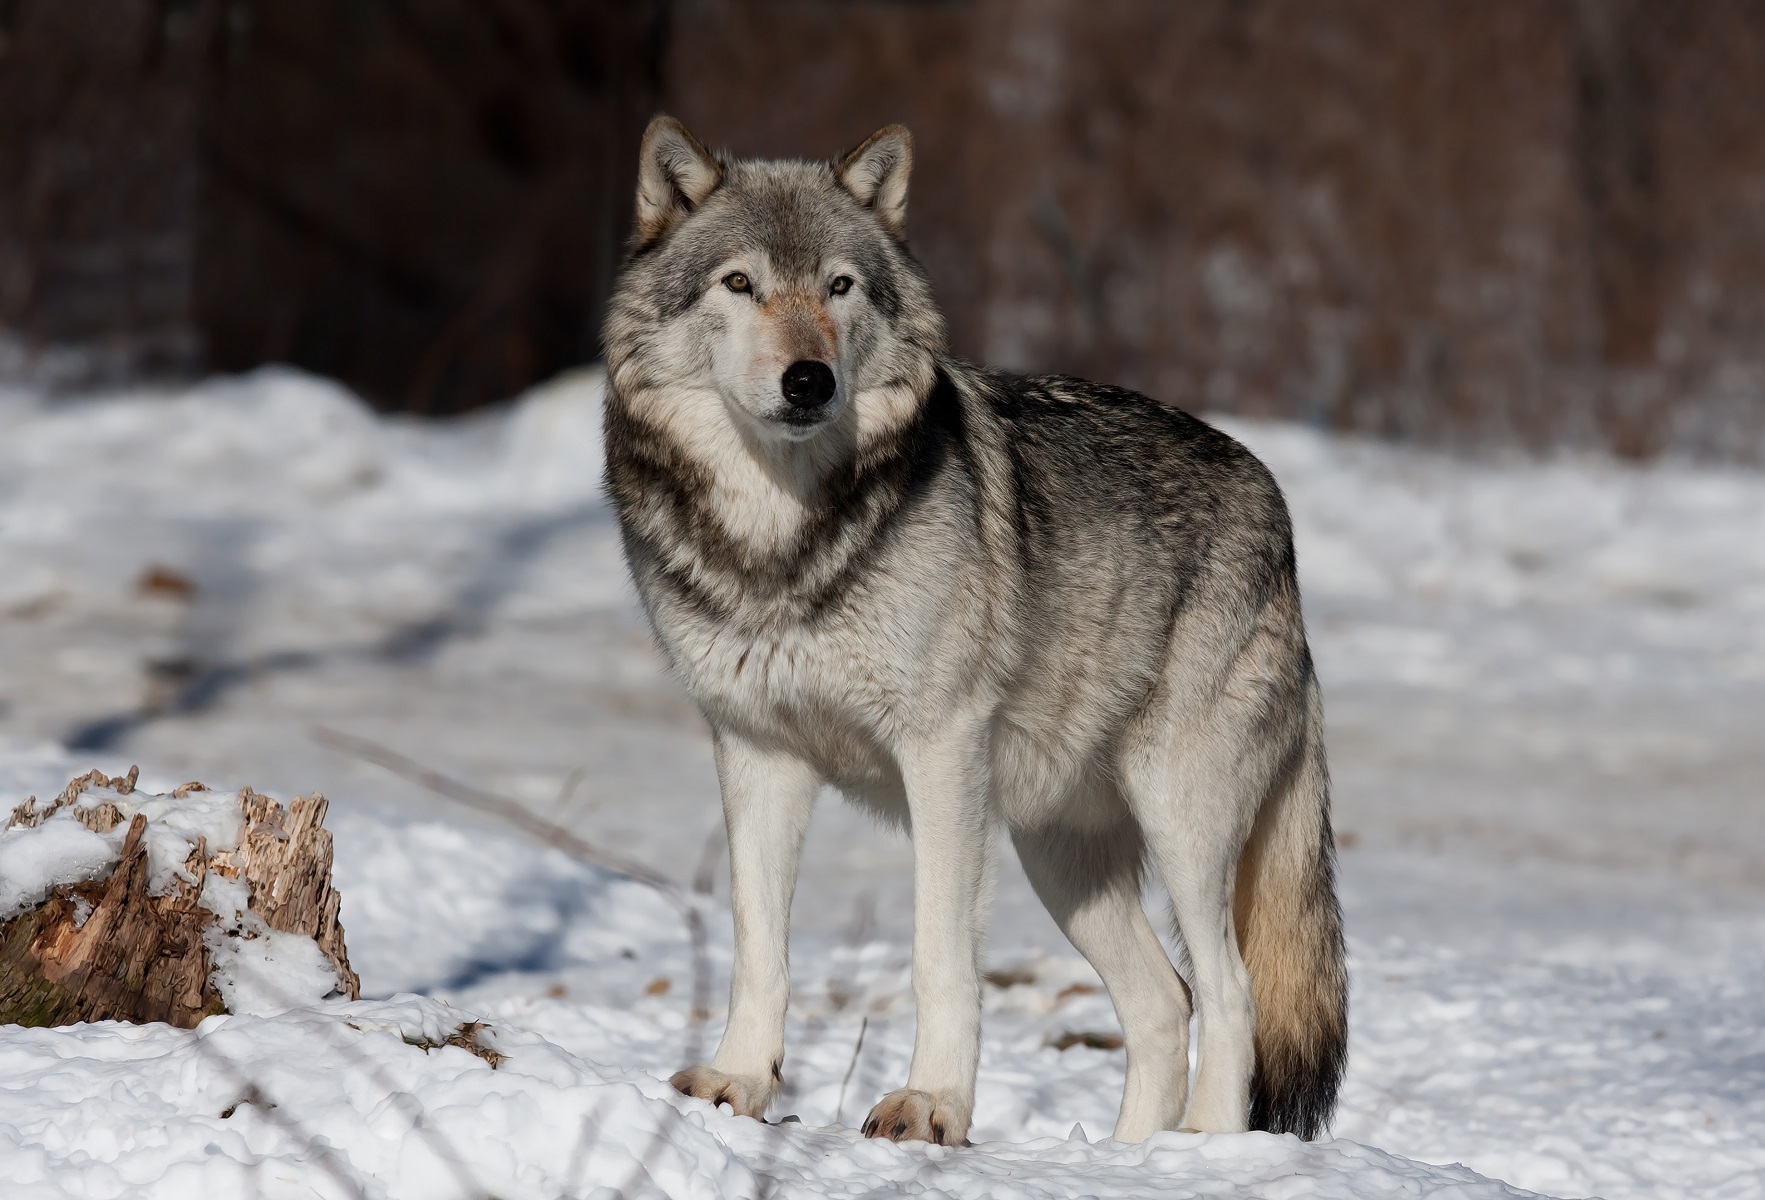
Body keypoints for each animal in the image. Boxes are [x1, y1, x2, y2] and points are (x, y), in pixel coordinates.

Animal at [600, 117, 1341, 1150]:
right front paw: (737, 1083)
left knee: (1229, 995)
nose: (808, 380)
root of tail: (1273, 504)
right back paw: (1129, 1159)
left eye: (840, 287)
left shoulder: (940, 754)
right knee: (1165, 1003)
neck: (782, 545)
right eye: (738, 284)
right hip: (1057, 855)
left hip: (1176, 817)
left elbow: (938, 956)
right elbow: (759, 945)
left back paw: (1202, 1152)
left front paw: (931, 1106)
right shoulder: (755, 752)